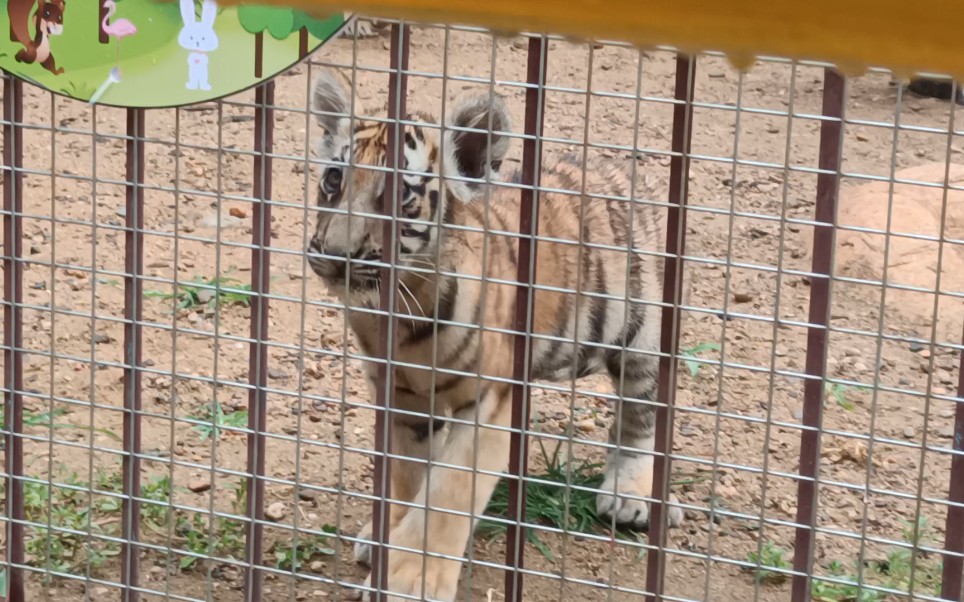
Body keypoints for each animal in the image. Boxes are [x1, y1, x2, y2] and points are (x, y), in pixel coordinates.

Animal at [306, 68, 684, 601]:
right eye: (334, 179)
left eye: (399, 196)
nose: (336, 256)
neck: (404, 305)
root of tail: (613, 166)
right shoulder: (402, 400)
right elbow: (410, 479)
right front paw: (386, 541)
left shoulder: (489, 399)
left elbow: (448, 491)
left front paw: (410, 580)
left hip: (642, 335)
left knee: (639, 418)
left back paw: (629, 494)